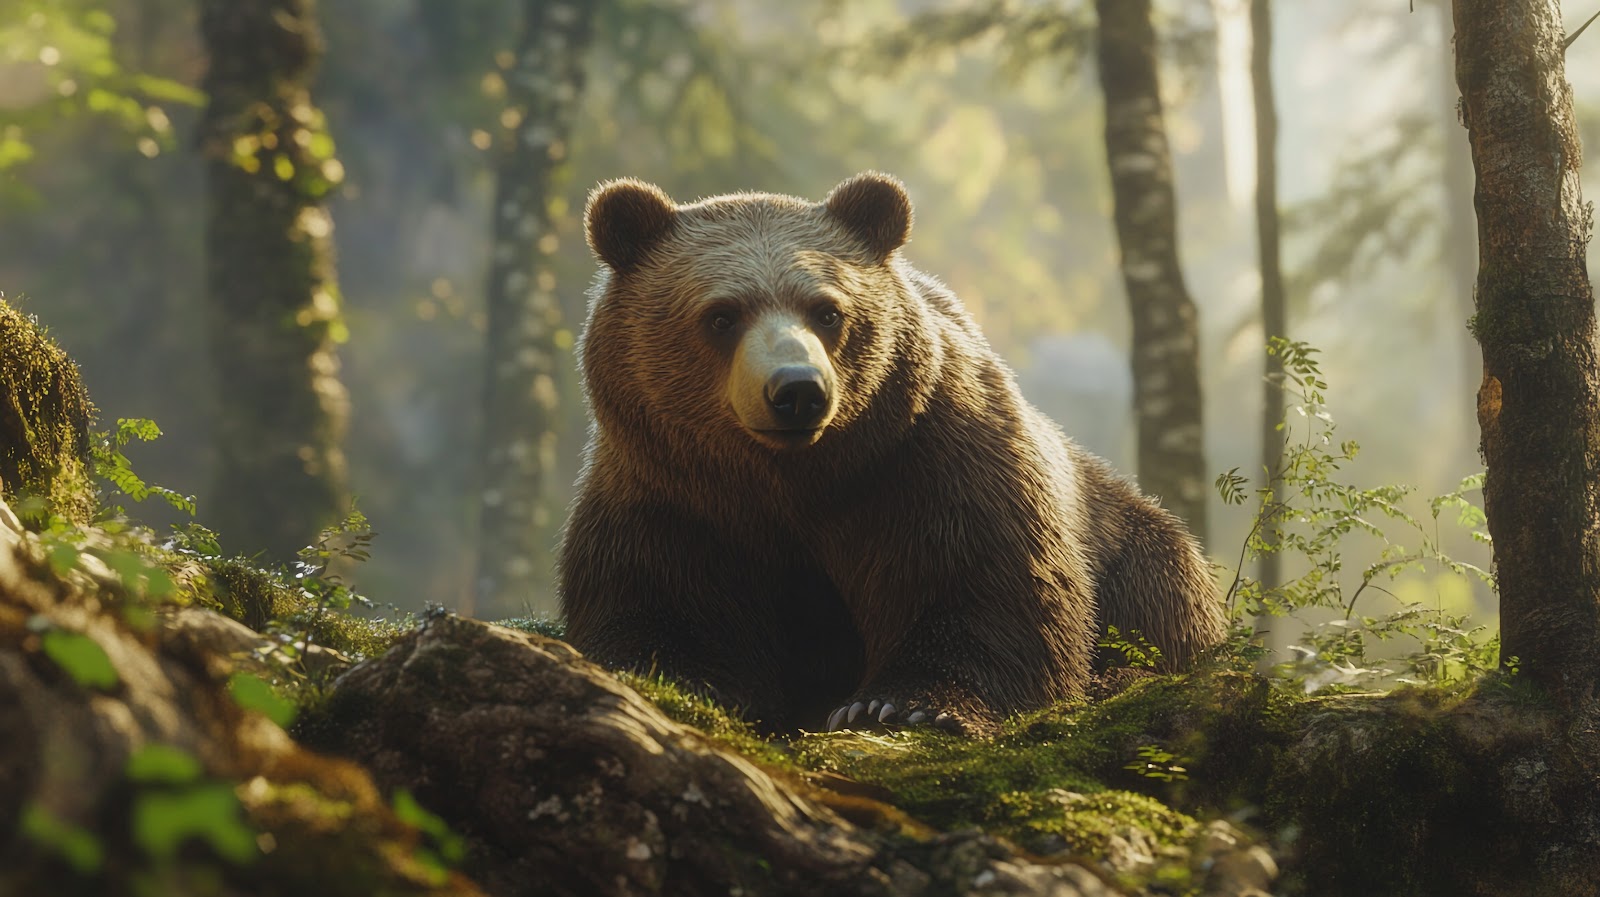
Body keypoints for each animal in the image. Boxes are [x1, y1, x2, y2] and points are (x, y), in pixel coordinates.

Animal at [558, 171, 1226, 735]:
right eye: (721, 315)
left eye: (828, 310)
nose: (796, 390)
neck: (794, 479)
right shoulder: (669, 490)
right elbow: (660, 598)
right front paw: (686, 682)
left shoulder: (927, 462)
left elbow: (980, 585)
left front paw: (896, 703)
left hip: (1132, 550)